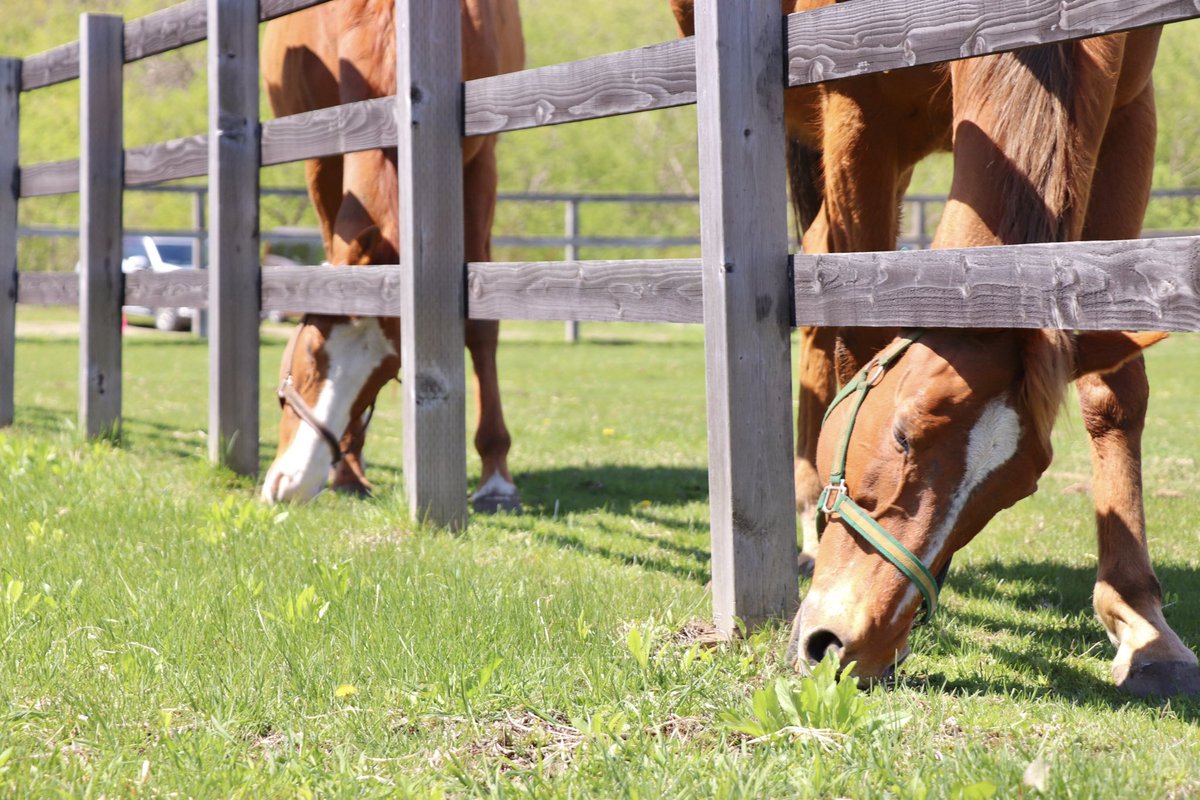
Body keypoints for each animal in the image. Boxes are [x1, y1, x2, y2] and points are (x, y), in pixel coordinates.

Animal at [260, 0, 523, 513]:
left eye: (384, 374)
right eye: (311, 348)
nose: (291, 484)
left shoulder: (481, 158)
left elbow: (482, 327)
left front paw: (496, 477)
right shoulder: (322, 158)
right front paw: (346, 473)